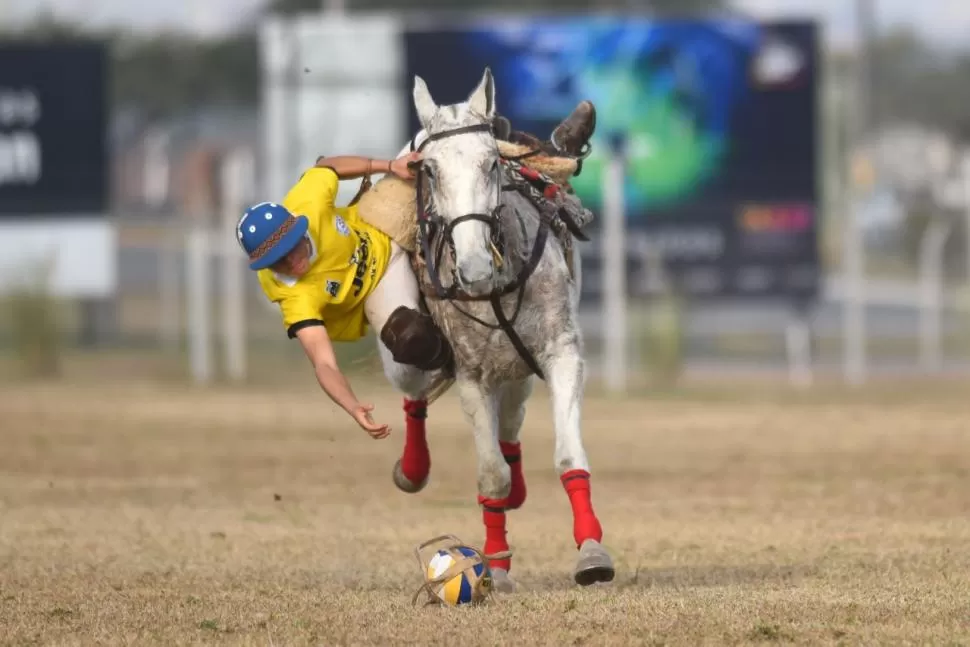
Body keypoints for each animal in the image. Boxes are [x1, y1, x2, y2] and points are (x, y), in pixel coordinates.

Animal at [396, 69, 612, 592]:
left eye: (491, 162)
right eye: (429, 169)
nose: (473, 265)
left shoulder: (560, 353)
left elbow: (568, 458)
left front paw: (592, 553)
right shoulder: (472, 375)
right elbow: (490, 476)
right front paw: (494, 565)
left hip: (519, 366)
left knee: (511, 424)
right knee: (414, 387)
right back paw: (412, 468)